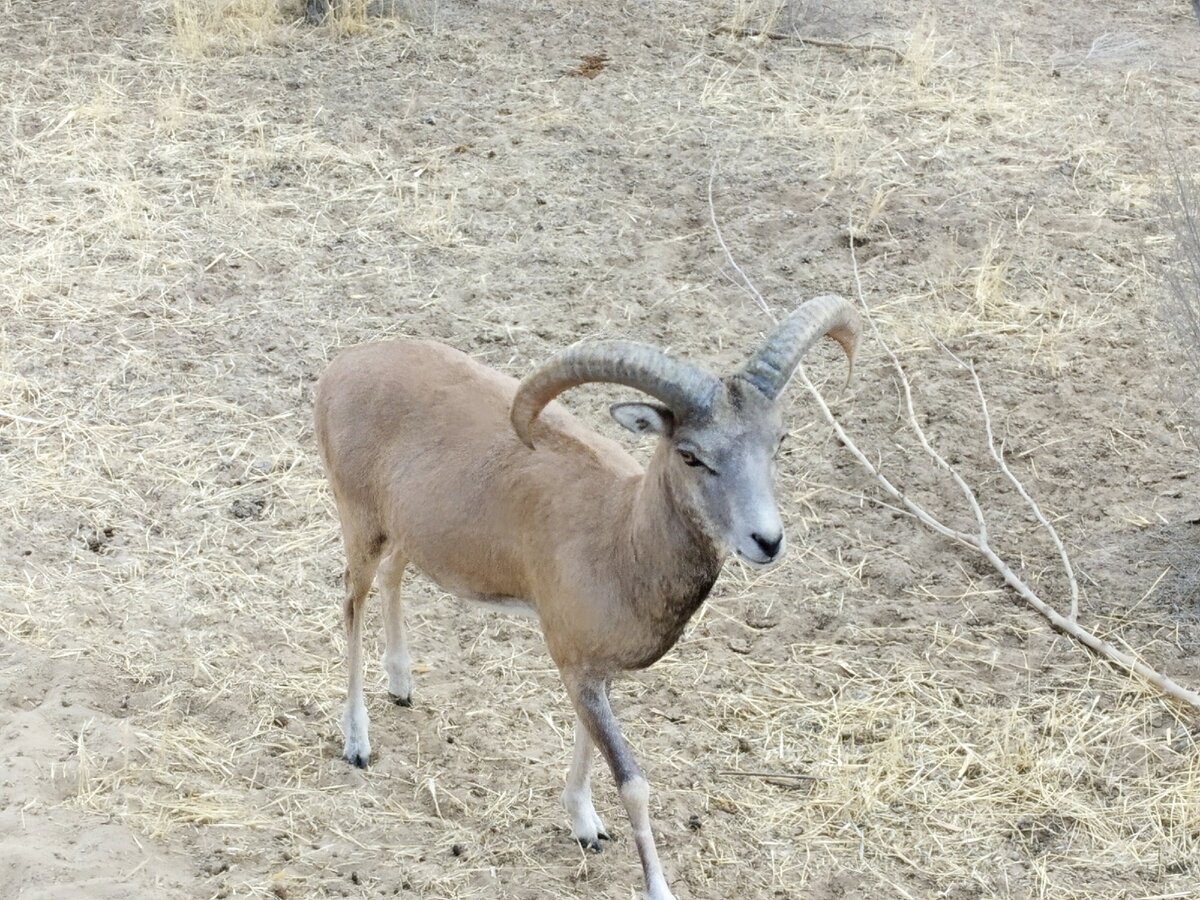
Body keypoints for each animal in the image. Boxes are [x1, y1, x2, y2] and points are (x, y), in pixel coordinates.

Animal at [316, 297, 864, 900]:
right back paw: (357, 743)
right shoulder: (576, 666)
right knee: (352, 603)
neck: (621, 539)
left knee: (393, 577)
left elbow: (586, 741)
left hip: (405, 535)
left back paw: (402, 685)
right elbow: (633, 783)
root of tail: (344, 368)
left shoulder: (593, 668)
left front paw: (586, 826)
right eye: (691, 455)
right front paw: (656, 886)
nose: (765, 540)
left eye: (778, 442)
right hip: (359, 524)